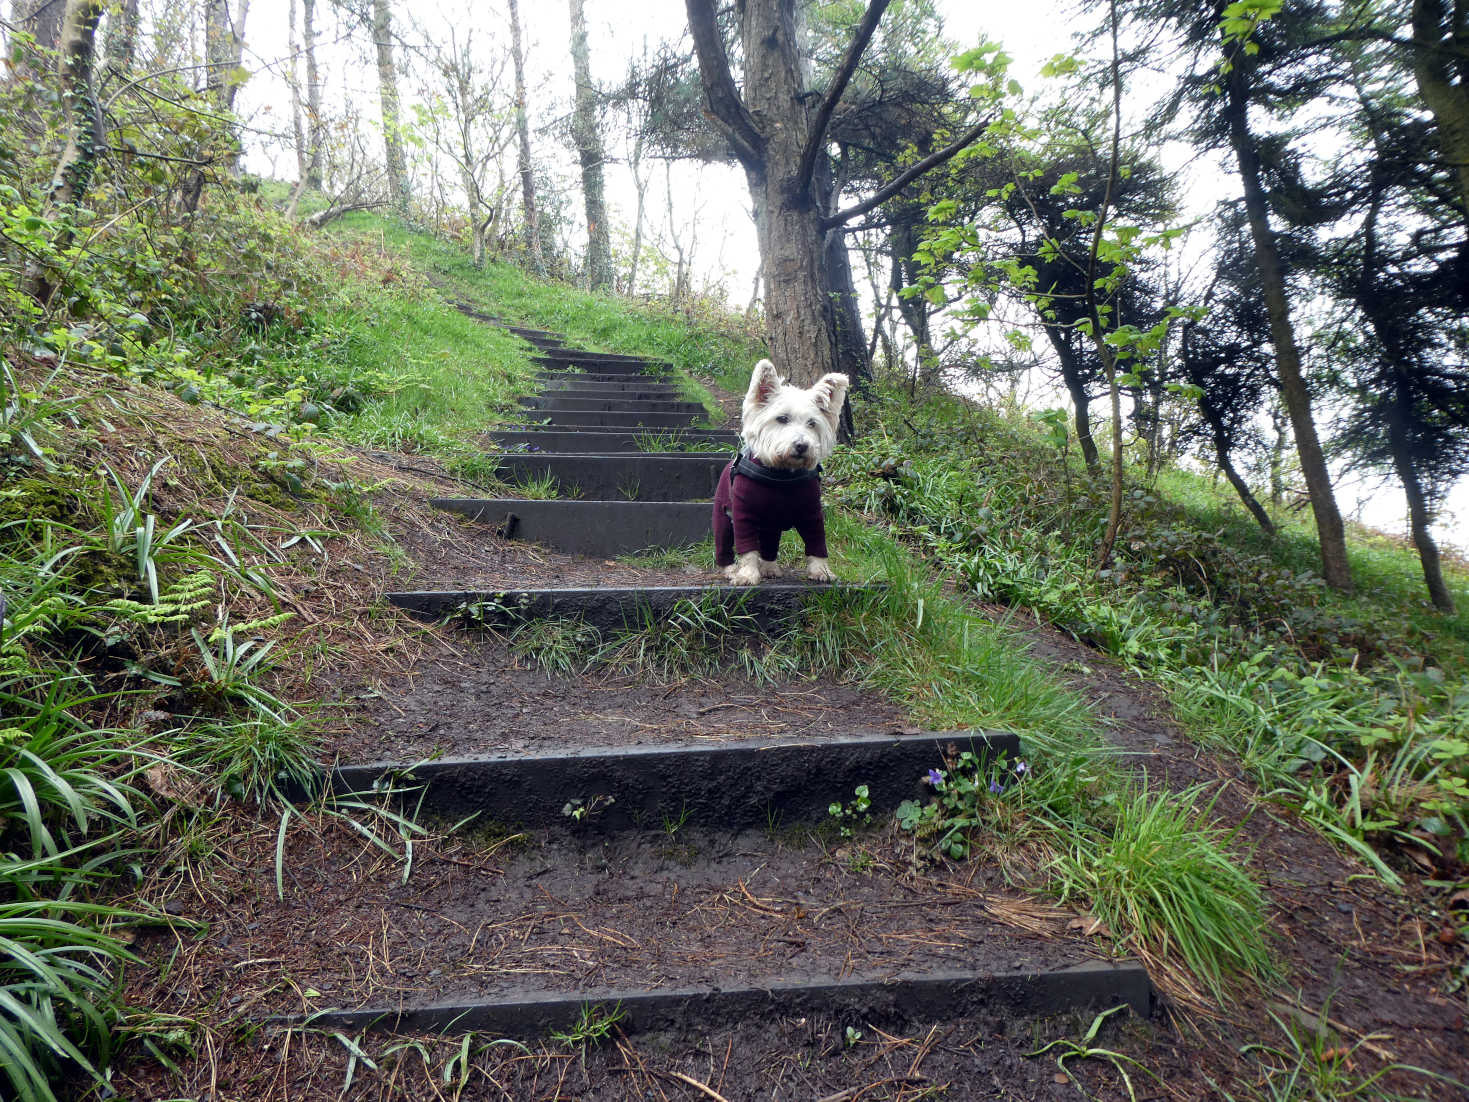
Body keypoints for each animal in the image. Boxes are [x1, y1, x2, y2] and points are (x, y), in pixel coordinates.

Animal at [713, 359, 852, 587]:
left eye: (812, 423)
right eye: (782, 418)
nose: (802, 445)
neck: (782, 476)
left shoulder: (812, 515)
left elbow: (817, 542)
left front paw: (821, 570)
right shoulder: (744, 515)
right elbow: (747, 548)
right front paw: (747, 574)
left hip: (771, 528)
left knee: (769, 547)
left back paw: (770, 568)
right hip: (723, 519)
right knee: (724, 545)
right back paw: (731, 569)